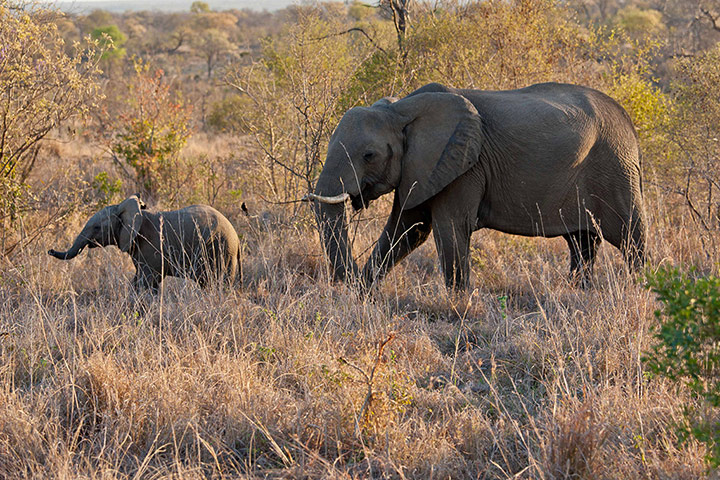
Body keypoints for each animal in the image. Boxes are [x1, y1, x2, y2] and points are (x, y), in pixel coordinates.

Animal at [49, 195, 242, 292]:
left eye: (97, 227)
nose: (49, 250)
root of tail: (237, 239)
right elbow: (138, 281)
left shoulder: (152, 249)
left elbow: (147, 282)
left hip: (220, 250)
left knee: (216, 284)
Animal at [309, 82, 646, 290]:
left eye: (369, 155)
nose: (349, 282)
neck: (401, 108)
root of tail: (628, 122)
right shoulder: (424, 166)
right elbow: (407, 229)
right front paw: (364, 293)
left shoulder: (463, 166)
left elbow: (449, 227)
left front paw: (458, 305)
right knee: (582, 242)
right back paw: (578, 292)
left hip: (615, 166)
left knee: (630, 237)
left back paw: (643, 290)